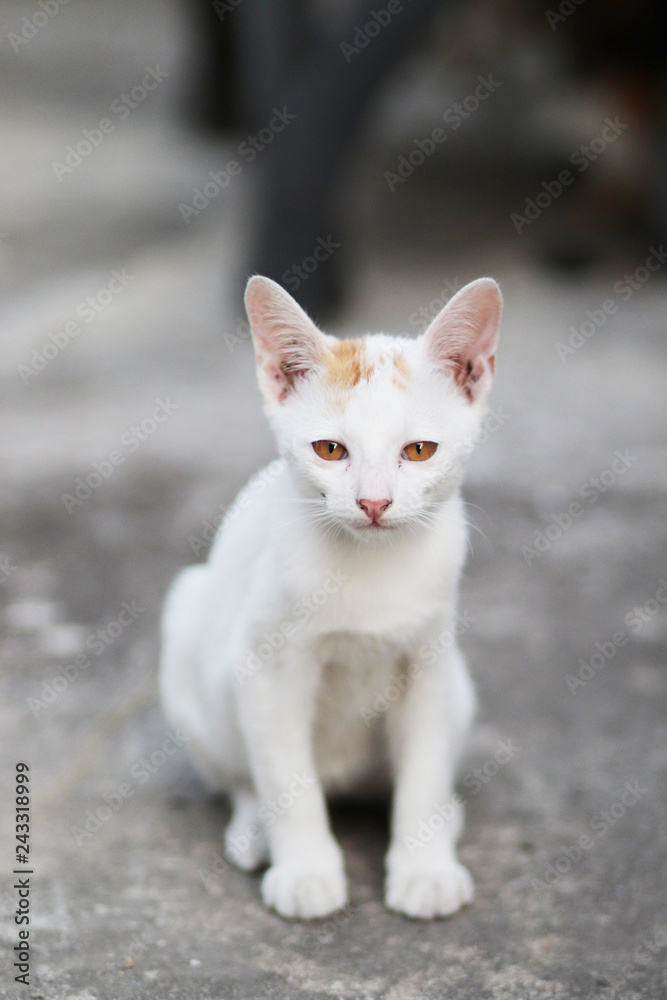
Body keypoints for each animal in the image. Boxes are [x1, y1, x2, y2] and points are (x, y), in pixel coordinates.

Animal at [160, 274, 500, 920]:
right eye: (330, 450)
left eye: (420, 451)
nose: (373, 502)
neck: (369, 567)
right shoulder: (265, 668)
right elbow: (284, 779)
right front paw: (306, 870)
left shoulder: (430, 658)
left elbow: (424, 770)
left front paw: (424, 866)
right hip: (187, 631)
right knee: (240, 775)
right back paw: (253, 831)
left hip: (461, 688)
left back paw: (444, 821)